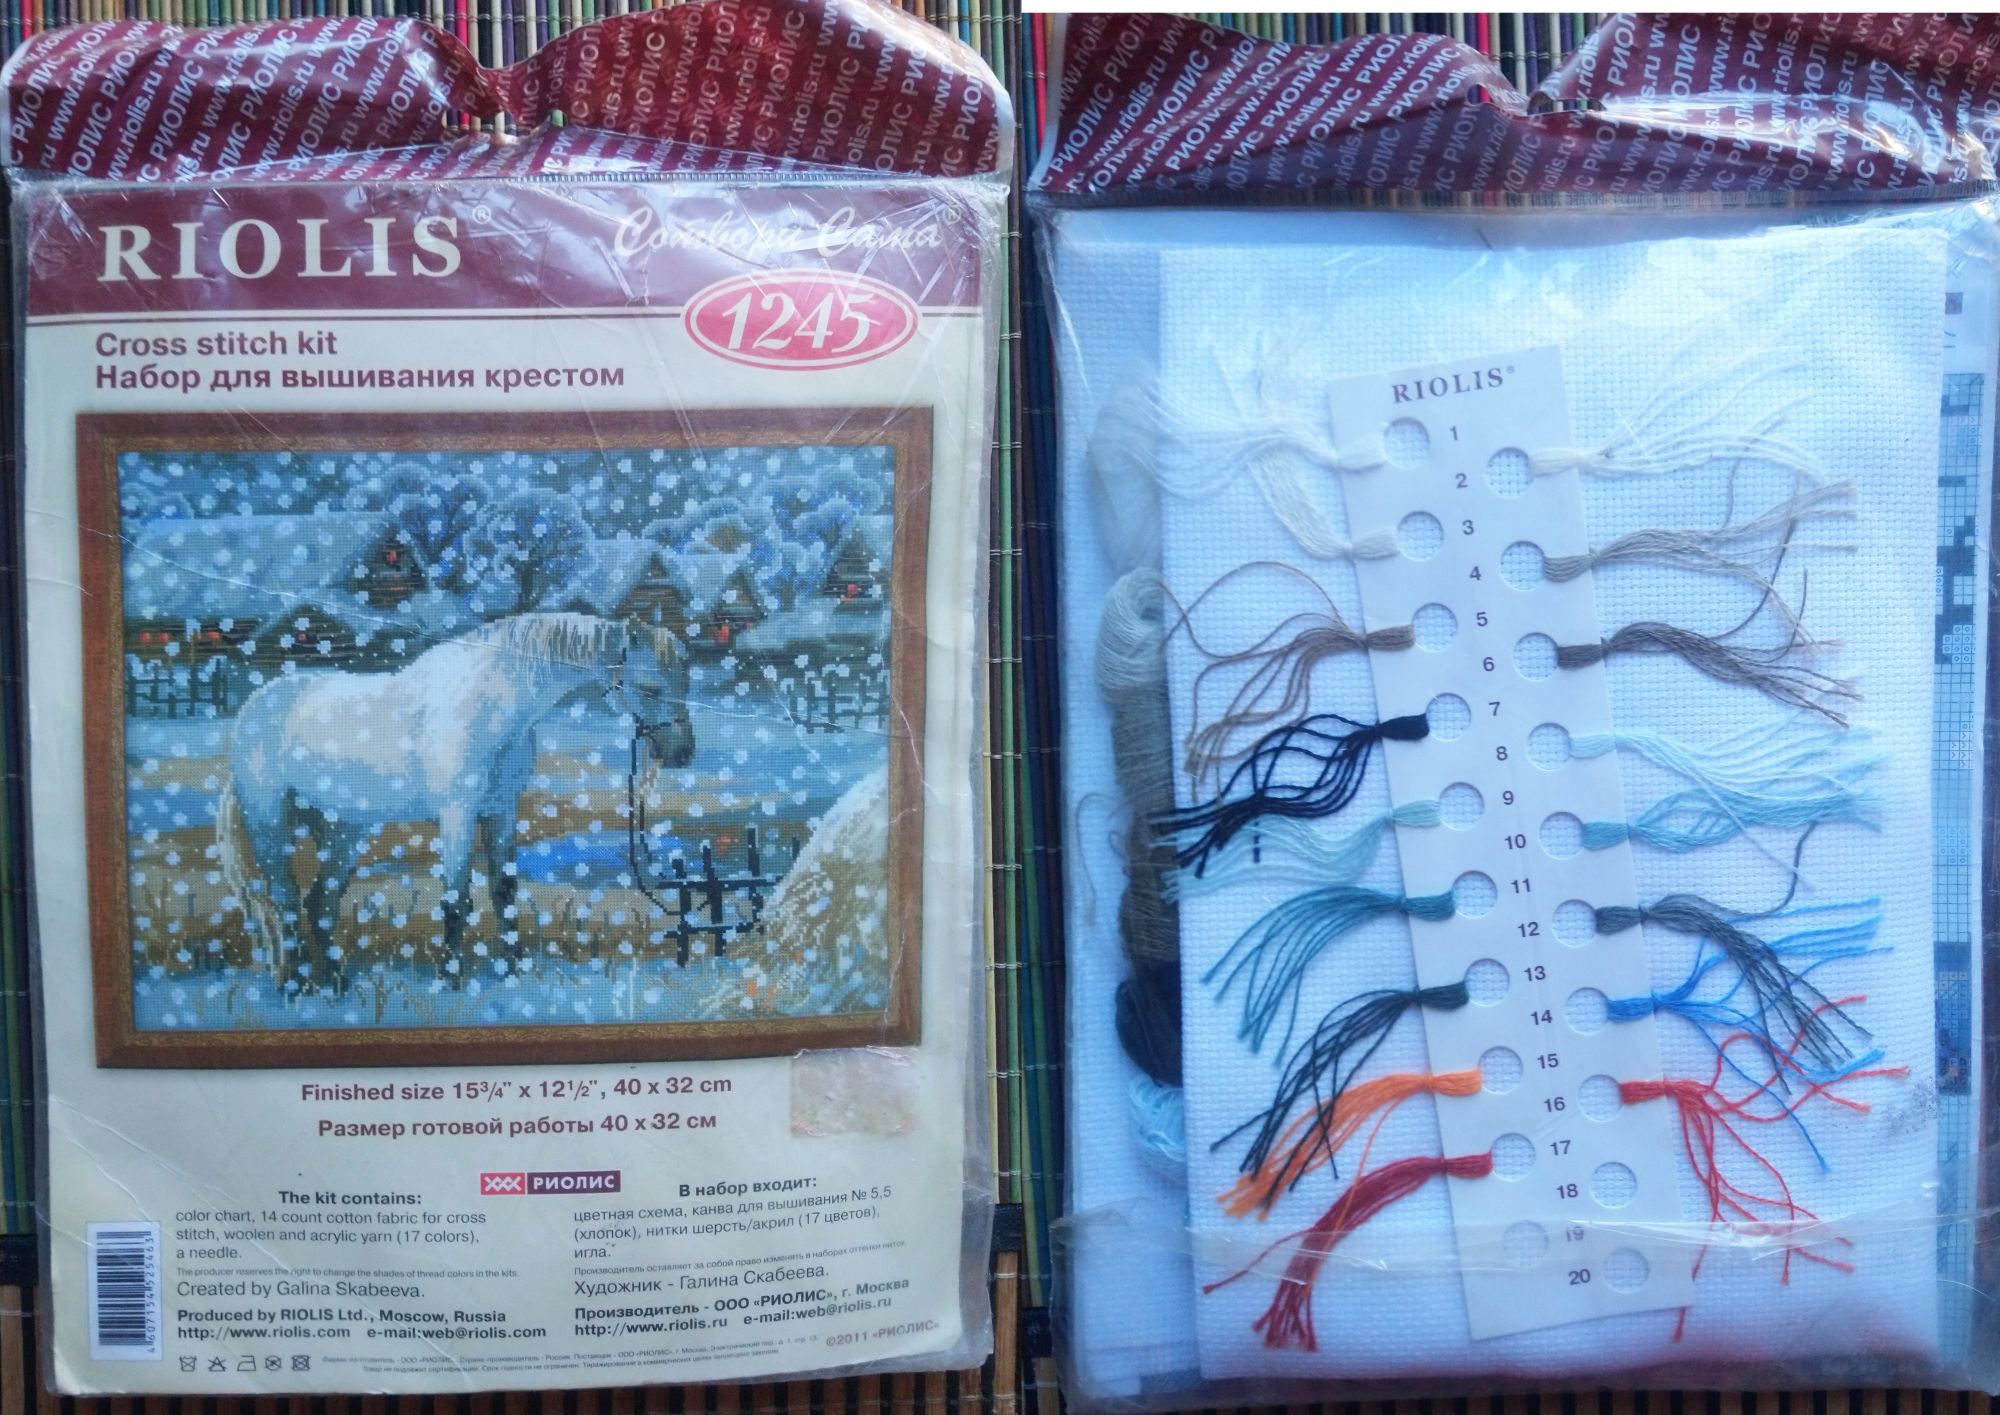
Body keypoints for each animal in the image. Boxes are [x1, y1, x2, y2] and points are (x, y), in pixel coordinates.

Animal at [213, 613, 693, 997]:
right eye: (651, 688)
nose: (683, 753)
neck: (491, 703)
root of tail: (253, 708)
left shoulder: (502, 810)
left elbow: (504, 891)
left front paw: (514, 972)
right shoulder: (457, 812)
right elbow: (456, 900)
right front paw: (451, 980)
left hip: (342, 829)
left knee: (320, 902)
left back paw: (336, 984)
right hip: (269, 821)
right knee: (284, 899)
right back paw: (297, 986)